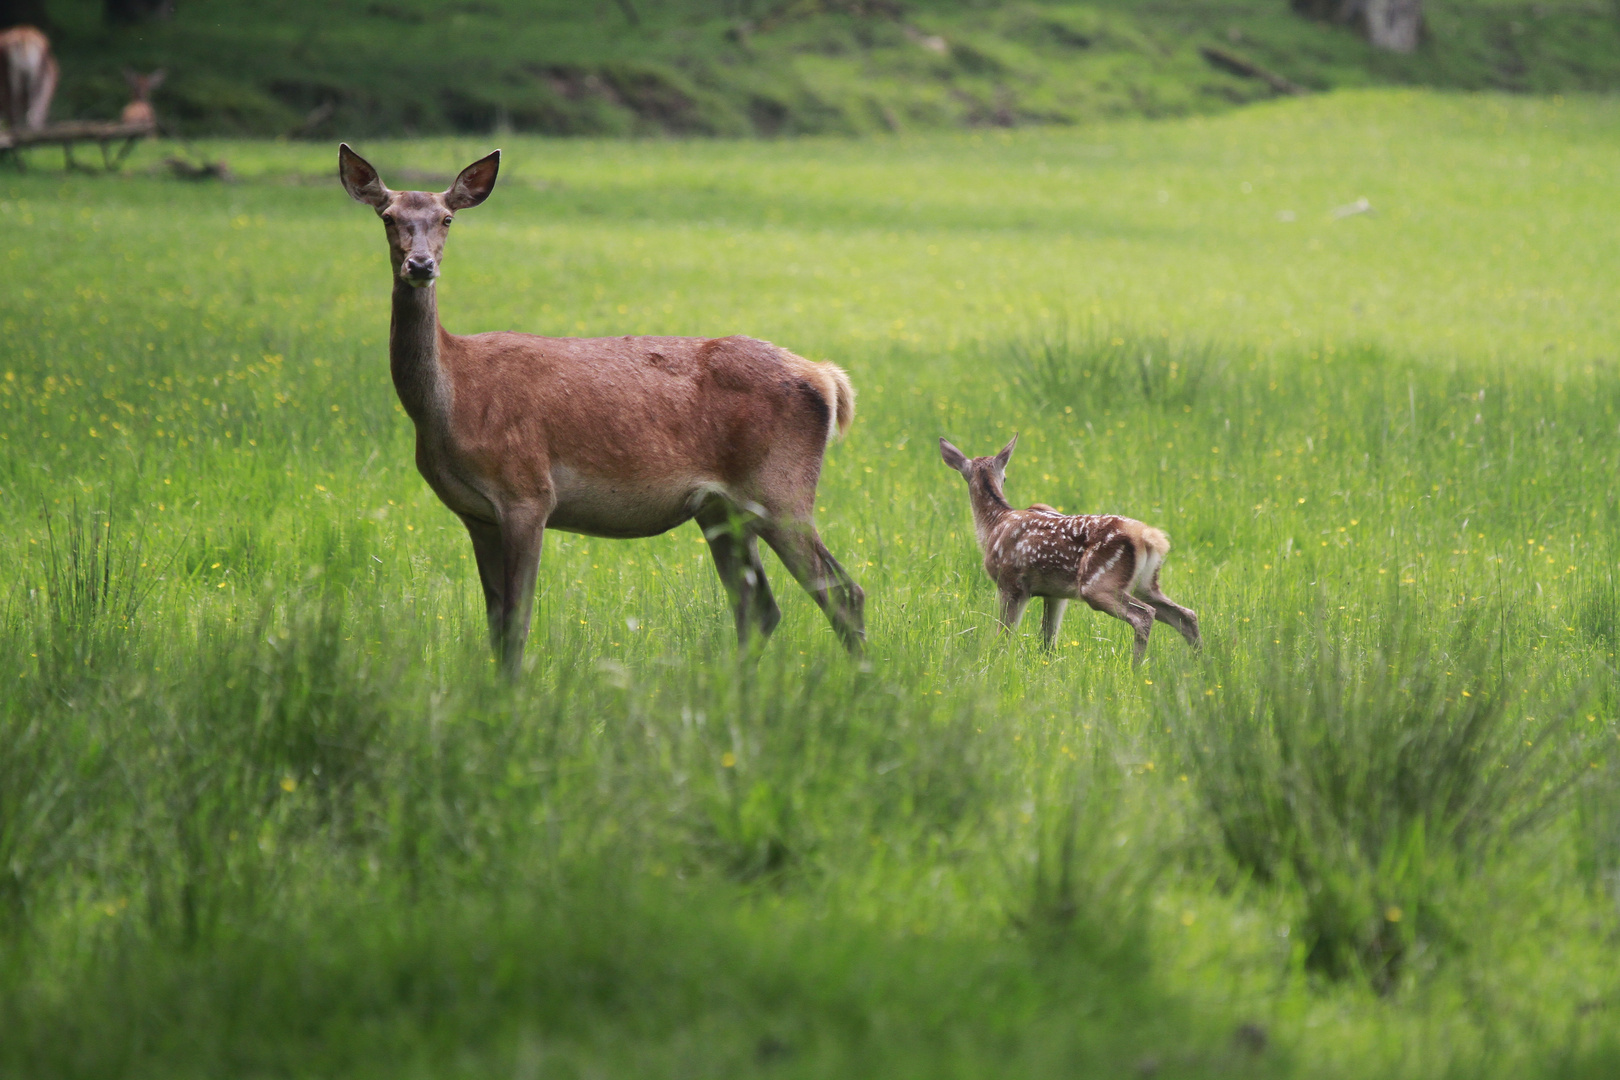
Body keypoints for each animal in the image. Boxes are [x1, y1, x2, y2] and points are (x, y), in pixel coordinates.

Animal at [336, 143, 868, 676]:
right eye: (388, 217)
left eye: (447, 218)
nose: (420, 265)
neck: (451, 404)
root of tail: (827, 379)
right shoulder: (476, 515)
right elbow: (495, 624)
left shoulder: (527, 492)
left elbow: (517, 621)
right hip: (722, 510)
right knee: (761, 608)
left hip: (781, 489)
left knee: (843, 592)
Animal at [946, 437, 1198, 660]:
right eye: (1005, 477)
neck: (994, 524)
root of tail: (1148, 537)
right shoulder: (1055, 593)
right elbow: (1047, 641)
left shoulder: (1011, 584)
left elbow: (1004, 636)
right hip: (1145, 583)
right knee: (1187, 615)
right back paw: (1198, 666)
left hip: (1098, 583)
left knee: (1145, 616)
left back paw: (1136, 669)